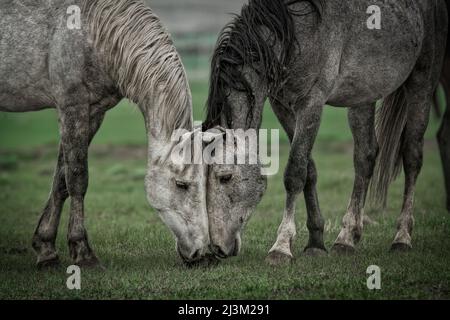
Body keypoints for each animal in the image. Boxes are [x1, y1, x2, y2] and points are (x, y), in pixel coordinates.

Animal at [0, 0, 213, 268]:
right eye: (181, 185)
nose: (203, 254)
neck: (93, 32)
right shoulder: (72, 107)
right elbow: (77, 179)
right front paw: (83, 252)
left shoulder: (94, 113)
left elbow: (61, 180)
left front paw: (46, 250)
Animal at [203, 0, 446, 264]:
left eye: (225, 177)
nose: (217, 249)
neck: (296, 30)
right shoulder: (282, 106)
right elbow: (309, 170)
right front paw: (315, 242)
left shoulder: (312, 103)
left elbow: (294, 172)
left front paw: (281, 247)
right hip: (362, 95)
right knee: (365, 156)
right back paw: (346, 238)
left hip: (422, 82)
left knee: (412, 156)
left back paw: (402, 238)